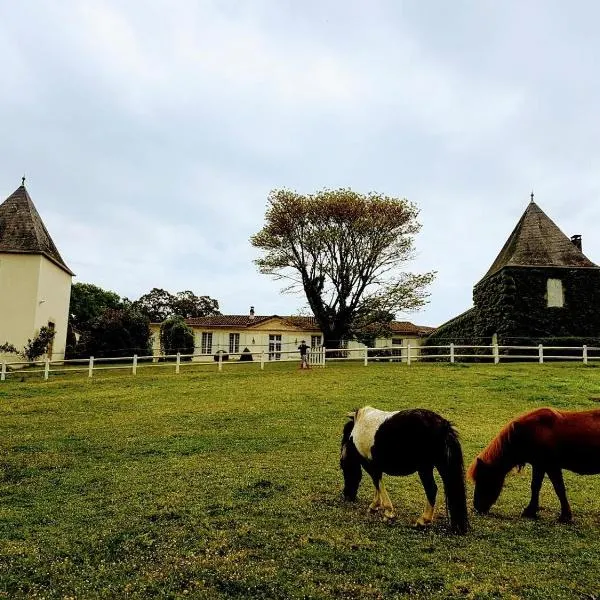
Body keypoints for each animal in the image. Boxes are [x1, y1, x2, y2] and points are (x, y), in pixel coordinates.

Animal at [338, 408, 468, 536]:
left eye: (344, 468)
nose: (347, 496)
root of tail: (444, 425)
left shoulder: (371, 466)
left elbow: (378, 484)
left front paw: (387, 512)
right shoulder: (375, 467)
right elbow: (377, 486)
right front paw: (375, 505)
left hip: (424, 468)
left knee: (431, 489)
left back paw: (423, 521)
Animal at [468, 406, 600, 524]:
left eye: (483, 479)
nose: (477, 507)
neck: (532, 431)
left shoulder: (551, 466)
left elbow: (558, 488)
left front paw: (565, 516)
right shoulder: (539, 465)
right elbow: (536, 486)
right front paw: (531, 511)